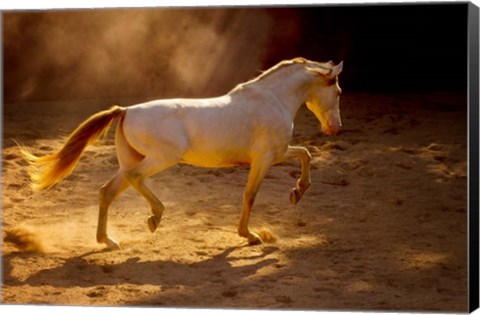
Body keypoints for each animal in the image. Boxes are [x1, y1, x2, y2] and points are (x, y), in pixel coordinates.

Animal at [18, 56, 342, 249]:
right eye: (338, 92)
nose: (335, 128)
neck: (272, 99)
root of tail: (125, 110)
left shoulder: (278, 153)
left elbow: (305, 154)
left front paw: (297, 192)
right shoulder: (264, 159)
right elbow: (251, 195)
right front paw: (250, 235)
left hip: (130, 161)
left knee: (107, 191)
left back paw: (108, 240)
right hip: (160, 159)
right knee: (135, 179)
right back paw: (155, 216)